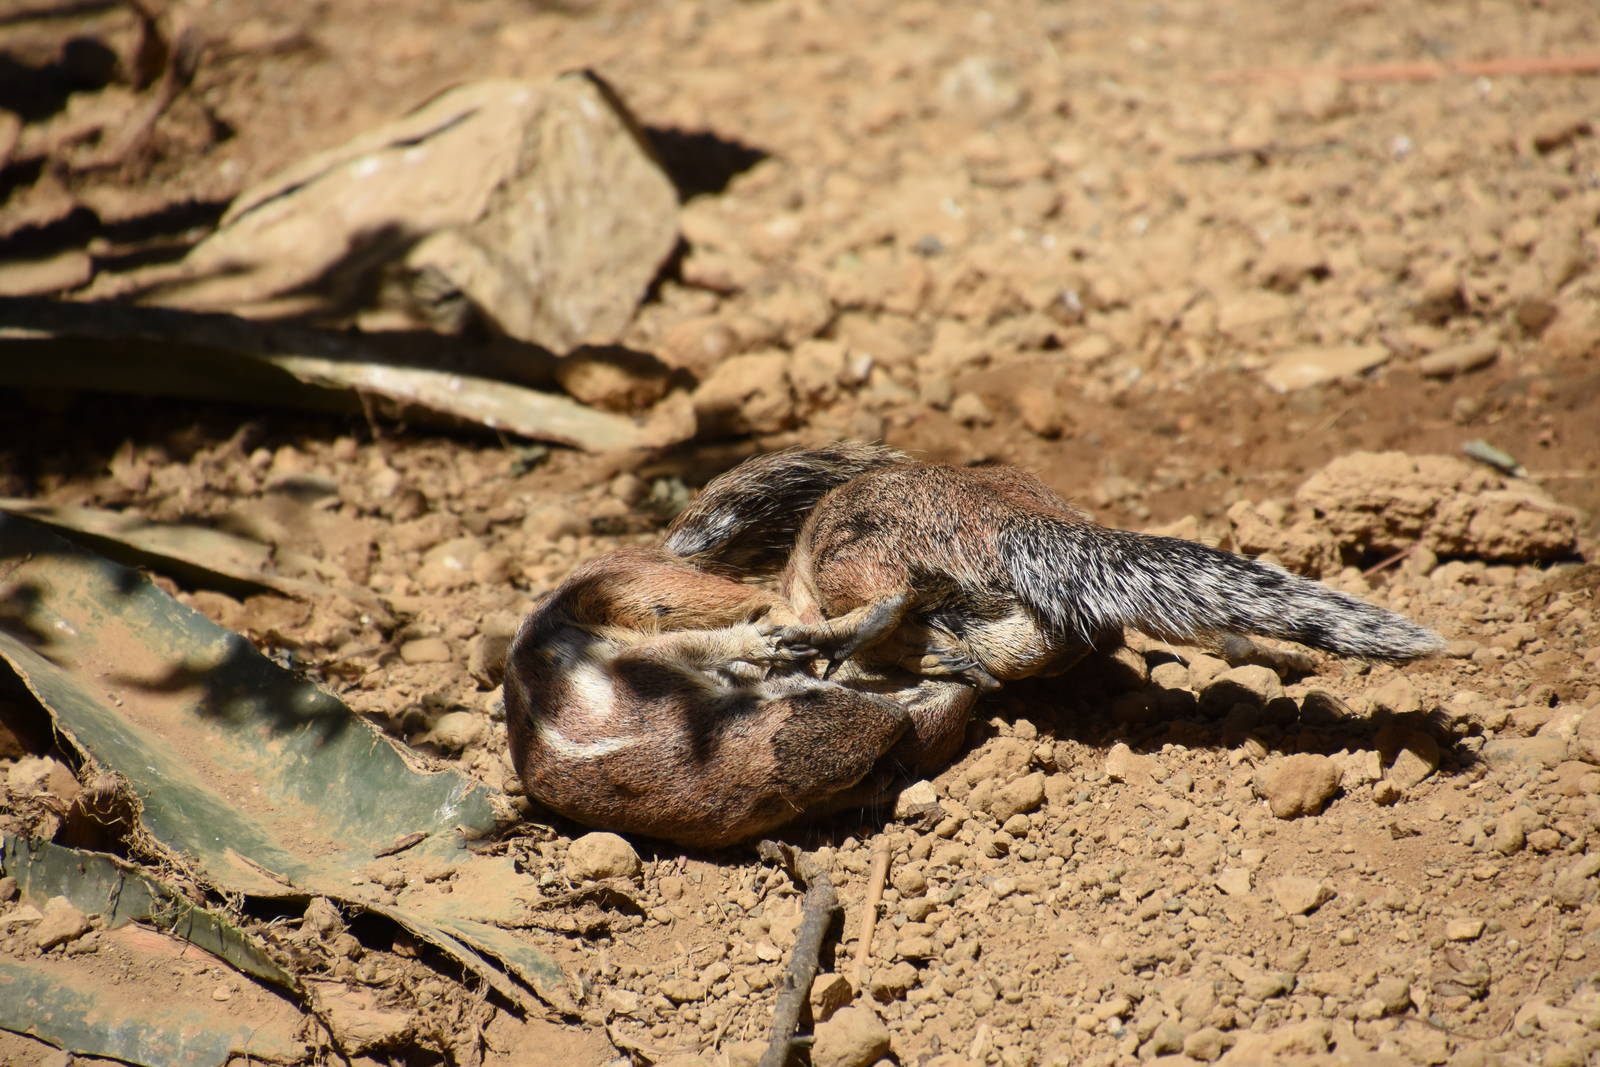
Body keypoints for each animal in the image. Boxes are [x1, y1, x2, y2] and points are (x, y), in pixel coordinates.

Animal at [502, 546, 976, 848]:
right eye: (870, 773)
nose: (898, 718)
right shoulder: (654, 679)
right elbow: (668, 649)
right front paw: (760, 644)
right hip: (647, 591)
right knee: (767, 602)